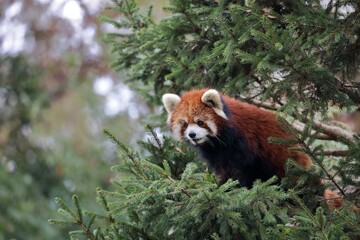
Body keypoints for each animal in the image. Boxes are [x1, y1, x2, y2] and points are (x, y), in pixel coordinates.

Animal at [162, 88, 344, 210]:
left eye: (200, 122)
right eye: (185, 124)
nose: (192, 134)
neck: (219, 142)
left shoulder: (243, 146)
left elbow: (241, 173)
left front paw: (234, 190)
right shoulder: (217, 156)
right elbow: (224, 172)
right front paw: (220, 188)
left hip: (296, 168)